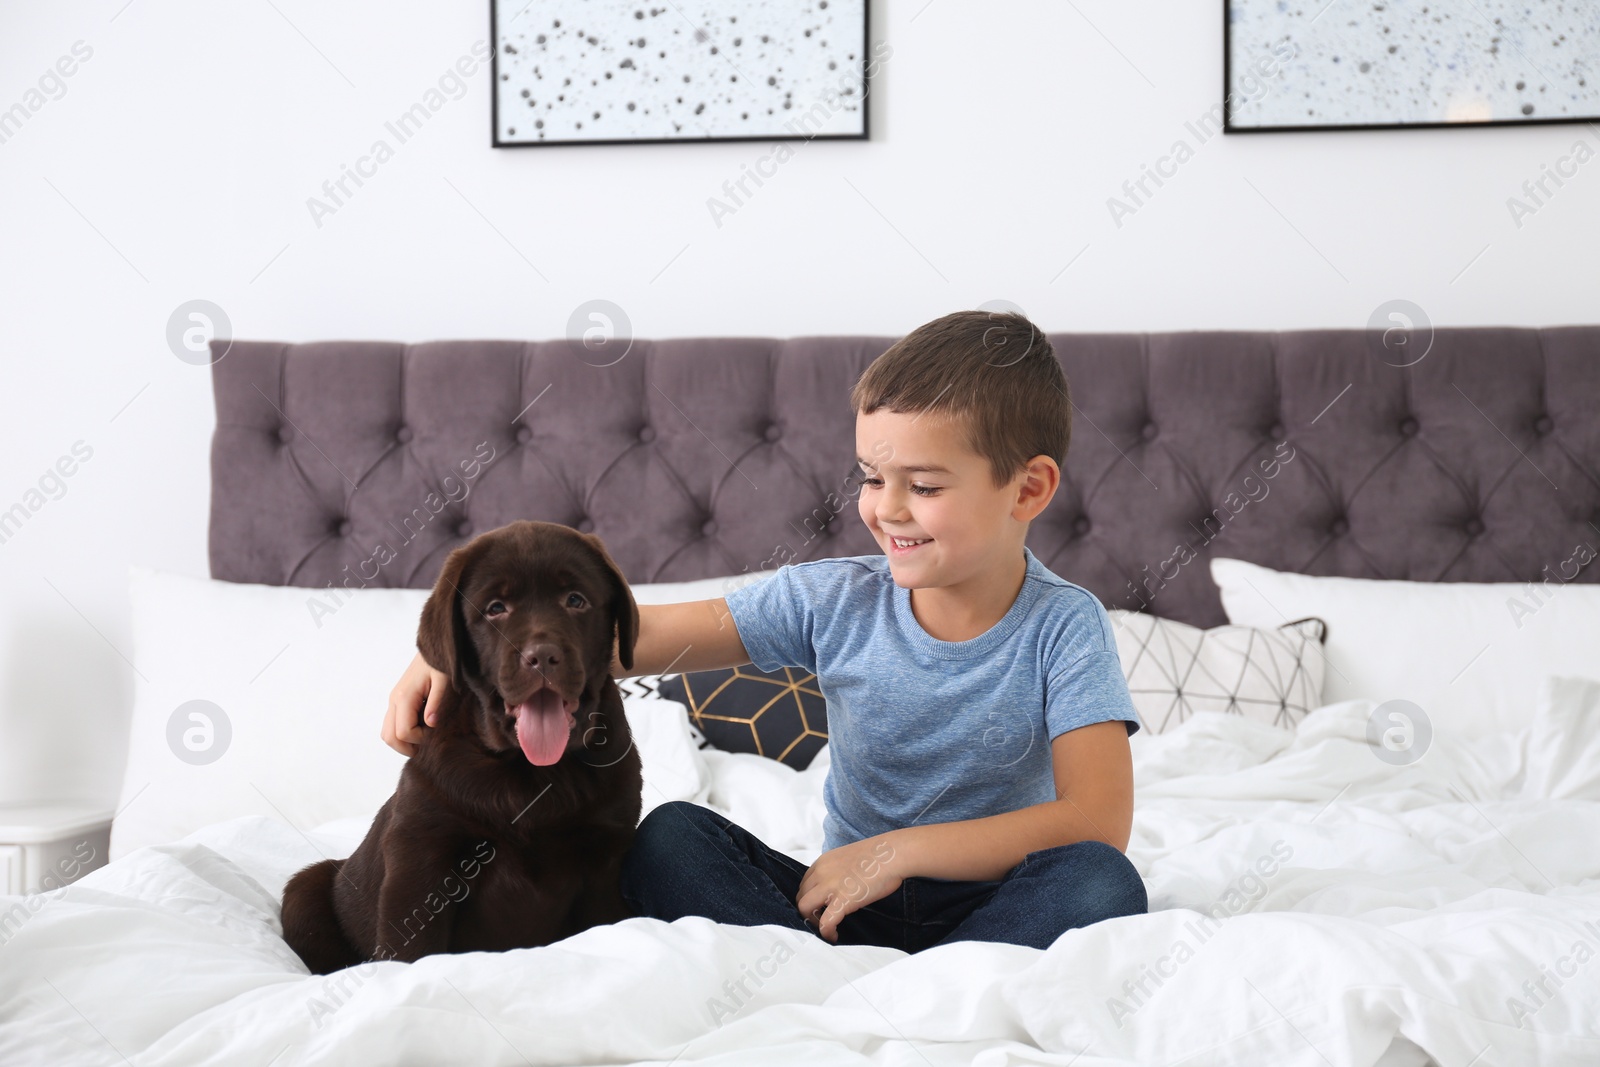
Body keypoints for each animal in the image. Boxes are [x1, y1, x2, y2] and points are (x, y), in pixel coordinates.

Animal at [281, 518, 643, 979]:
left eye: (575, 600)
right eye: (495, 608)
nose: (542, 657)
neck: (531, 772)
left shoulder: (606, 855)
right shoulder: (421, 855)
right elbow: (411, 950)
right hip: (305, 889)